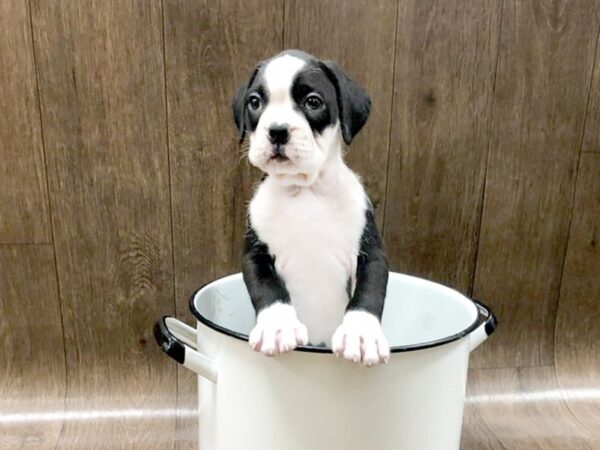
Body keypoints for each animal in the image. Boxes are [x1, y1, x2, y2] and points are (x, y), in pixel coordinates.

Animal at [232, 50, 392, 366]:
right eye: (255, 102)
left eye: (313, 102)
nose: (277, 130)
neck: (306, 190)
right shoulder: (256, 255)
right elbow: (268, 289)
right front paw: (277, 326)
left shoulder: (370, 253)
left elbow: (367, 294)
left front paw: (361, 334)